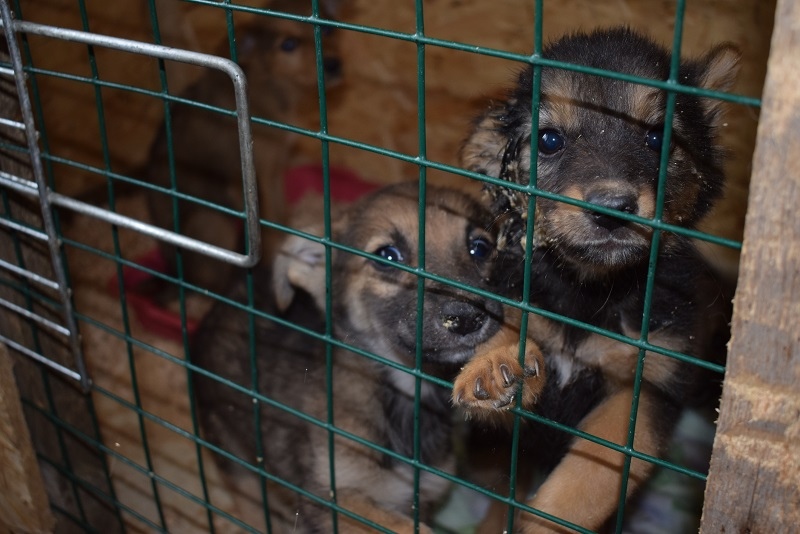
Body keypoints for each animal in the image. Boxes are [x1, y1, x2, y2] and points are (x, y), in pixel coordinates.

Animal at [142, 0, 342, 300]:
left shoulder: (276, 169)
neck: (269, 84)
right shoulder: (262, 176)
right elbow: (273, 223)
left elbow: (281, 213)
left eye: (328, 31)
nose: (334, 64)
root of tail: (175, 273)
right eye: (288, 45)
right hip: (212, 220)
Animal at [190, 182, 545, 532]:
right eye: (387, 257)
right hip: (237, 459)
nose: (467, 318)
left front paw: (499, 365)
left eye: (480, 248)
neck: (407, 399)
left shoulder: (422, 496)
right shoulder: (332, 498)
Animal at [451, 27, 740, 533]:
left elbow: (580, 488)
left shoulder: (641, 399)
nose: (611, 209)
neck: (589, 290)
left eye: (657, 137)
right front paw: (496, 365)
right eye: (549, 140)